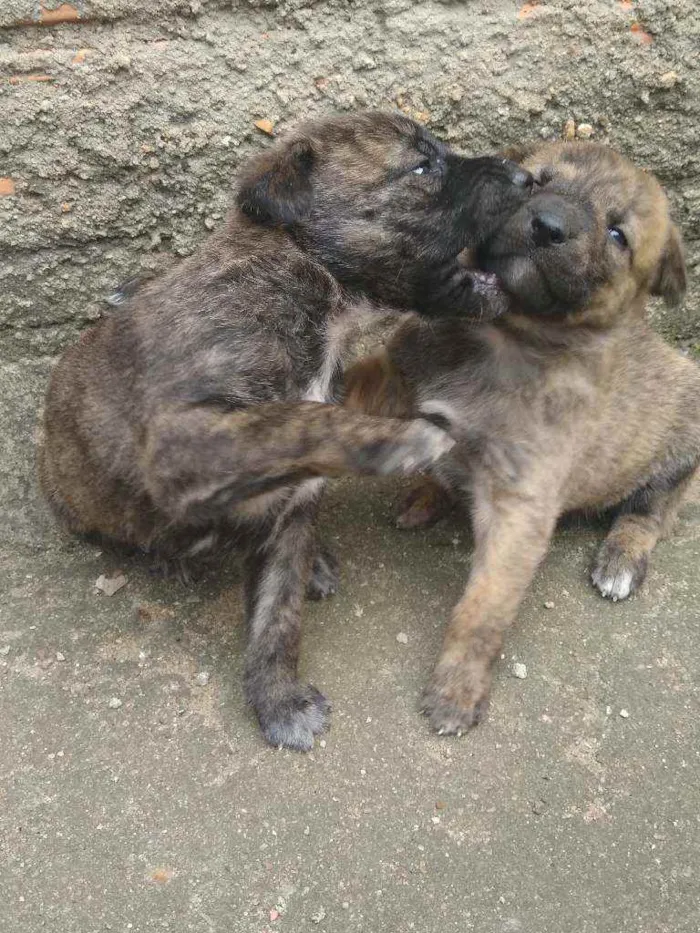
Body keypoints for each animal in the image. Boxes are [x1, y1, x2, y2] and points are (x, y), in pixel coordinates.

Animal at [38, 111, 532, 748]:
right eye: (423, 166)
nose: (527, 177)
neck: (306, 282)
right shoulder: (183, 437)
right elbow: (299, 416)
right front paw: (405, 436)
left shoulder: (291, 517)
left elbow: (279, 616)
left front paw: (278, 700)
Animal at [346, 140, 700, 736]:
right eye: (537, 181)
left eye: (618, 234)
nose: (548, 226)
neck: (502, 337)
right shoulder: (395, 376)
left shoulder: (520, 507)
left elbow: (483, 608)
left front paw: (457, 688)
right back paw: (425, 496)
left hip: (681, 439)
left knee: (651, 511)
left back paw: (621, 559)